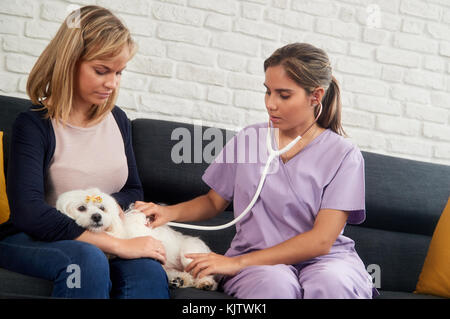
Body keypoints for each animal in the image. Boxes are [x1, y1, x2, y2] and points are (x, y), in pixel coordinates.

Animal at [56, 189, 218, 292]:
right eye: (81, 208)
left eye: (102, 208)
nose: (97, 216)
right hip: (173, 267)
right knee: (184, 275)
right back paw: (180, 280)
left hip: (189, 255)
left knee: (200, 273)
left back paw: (206, 283)